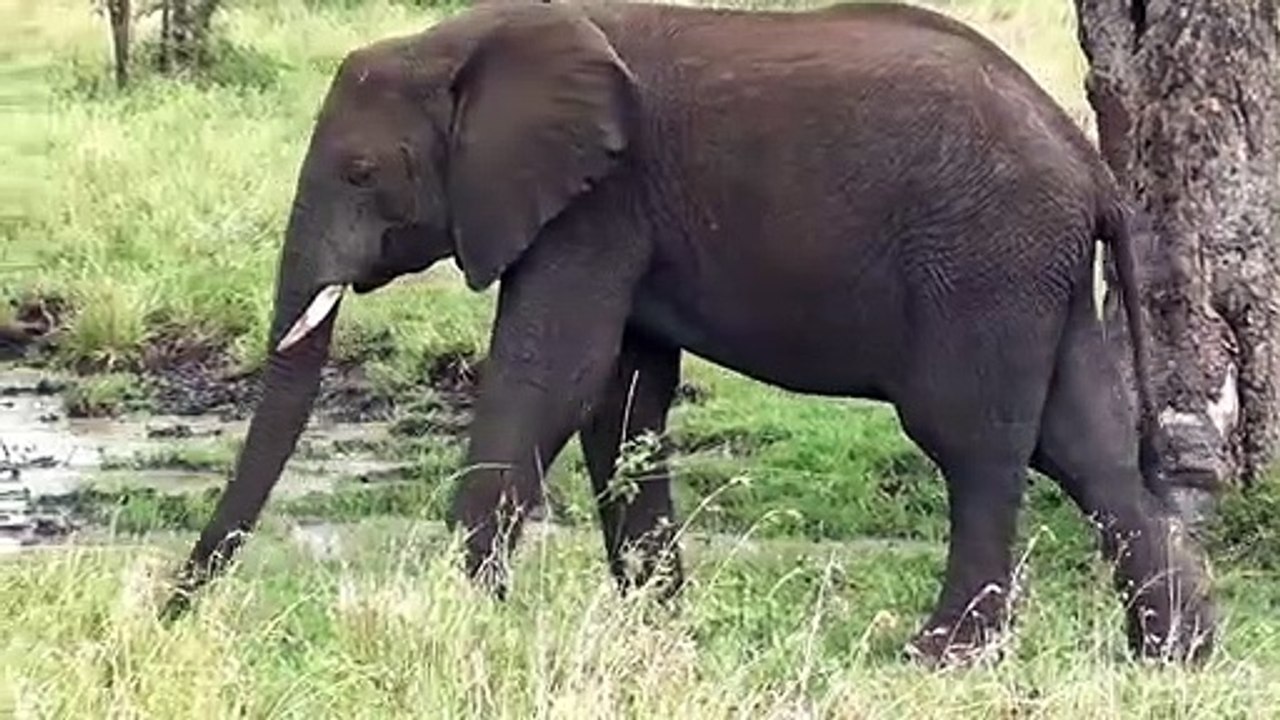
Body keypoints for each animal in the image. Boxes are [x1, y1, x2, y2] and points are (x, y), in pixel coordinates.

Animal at [162, 0, 1216, 666]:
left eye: (361, 172)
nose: (175, 609)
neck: (467, 37)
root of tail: (1091, 168)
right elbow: (621, 400)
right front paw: (661, 628)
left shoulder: (596, 203)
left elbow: (550, 375)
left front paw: (462, 619)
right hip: (1034, 271)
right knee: (1086, 449)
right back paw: (1175, 658)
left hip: (984, 259)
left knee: (976, 444)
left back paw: (943, 659)